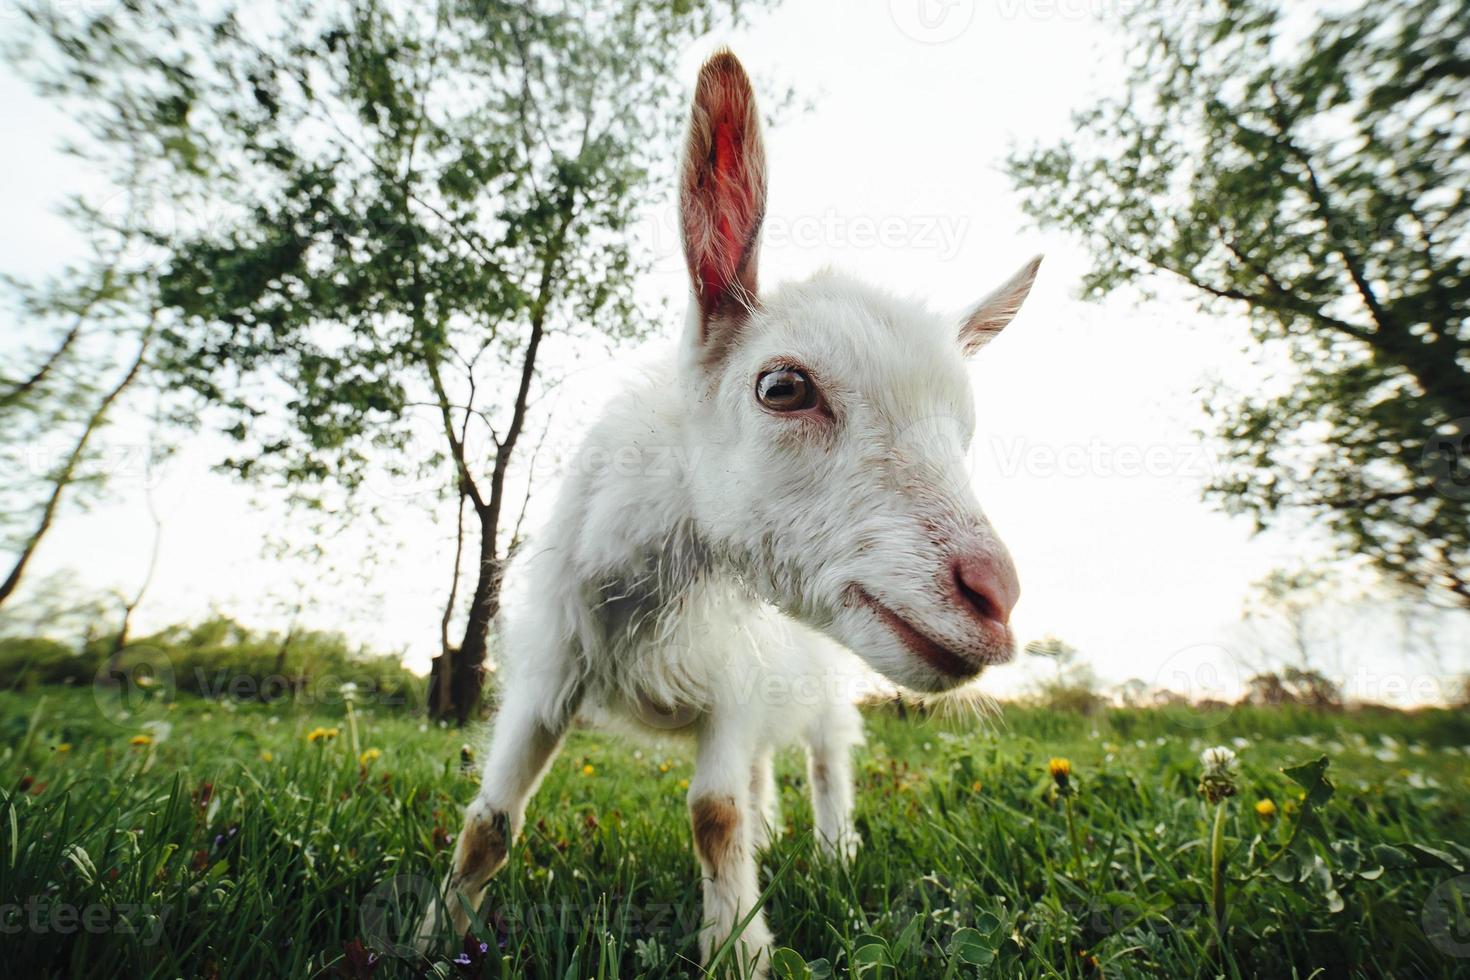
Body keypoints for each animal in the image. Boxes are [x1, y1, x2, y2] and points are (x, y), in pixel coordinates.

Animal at [423, 49, 1046, 975]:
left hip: (824, 687)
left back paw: (833, 849)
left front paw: (740, 948)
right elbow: (489, 825)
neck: (654, 596)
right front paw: (435, 935)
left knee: (825, 758)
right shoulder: (543, 677)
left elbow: (712, 817)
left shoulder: (733, 689)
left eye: (964, 434)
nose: (994, 599)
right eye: (782, 386)